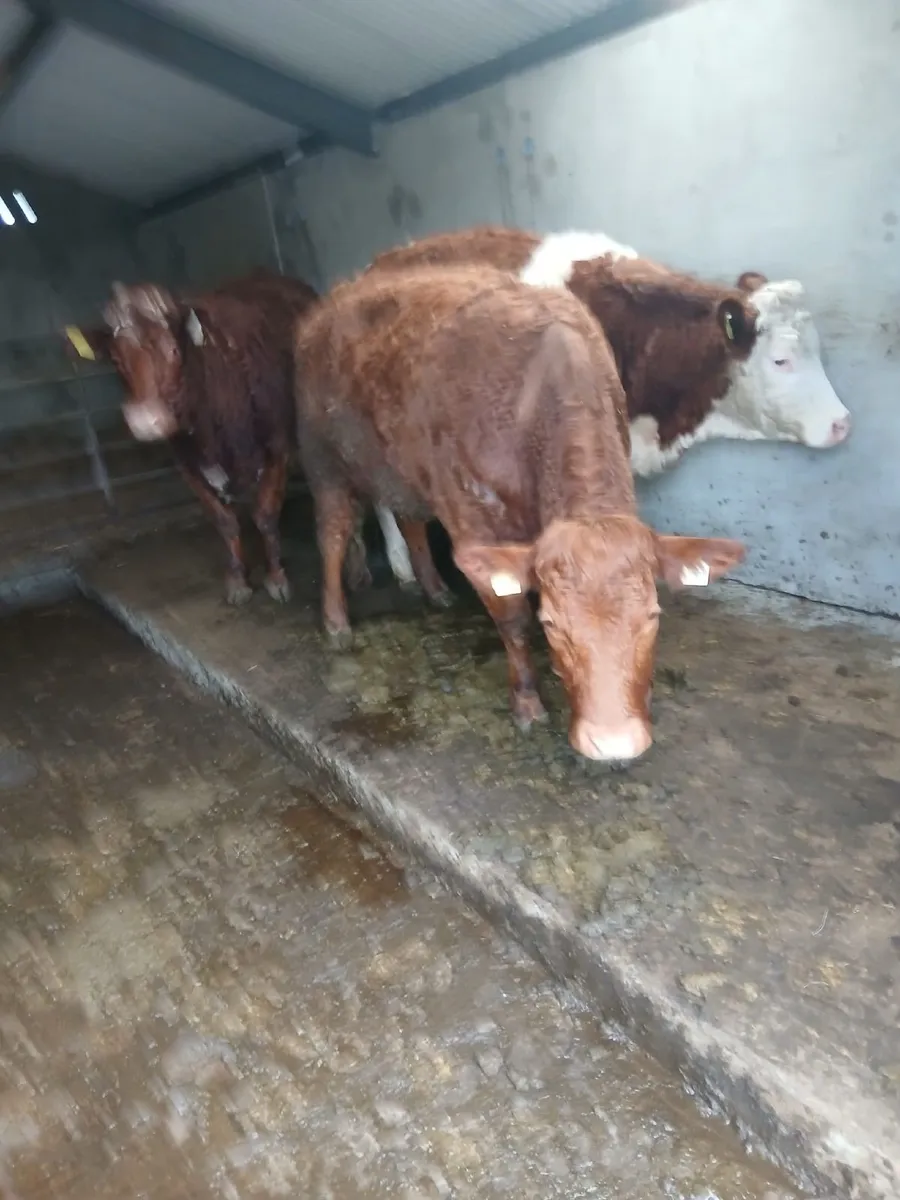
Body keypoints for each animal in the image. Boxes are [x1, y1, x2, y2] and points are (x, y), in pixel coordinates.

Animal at [294, 262, 746, 763]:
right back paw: (336, 622)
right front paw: (527, 701)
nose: (612, 743)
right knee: (333, 533)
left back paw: (434, 590)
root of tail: (334, 299)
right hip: (322, 459)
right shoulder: (474, 522)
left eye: (652, 616)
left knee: (411, 520)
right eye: (551, 624)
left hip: (406, 471)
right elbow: (511, 618)